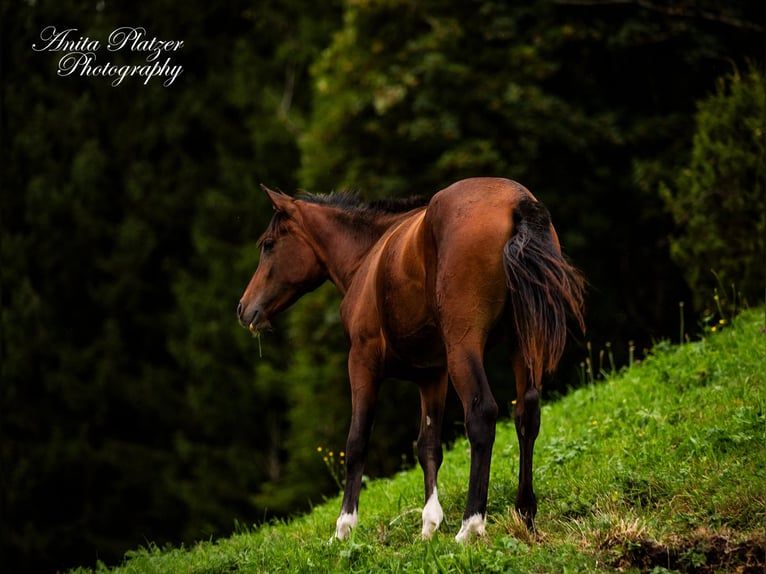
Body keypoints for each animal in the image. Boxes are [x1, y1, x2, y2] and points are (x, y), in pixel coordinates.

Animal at [237, 178, 584, 544]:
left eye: (268, 244)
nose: (244, 308)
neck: (368, 258)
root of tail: (516, 201)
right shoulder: (432, 374)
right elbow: (428, 445)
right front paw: (429, 523)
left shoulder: (361, 361)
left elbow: (357, 441)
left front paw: (344, 527)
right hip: (523, 344)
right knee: (526, 413)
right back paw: (525, 513)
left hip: (464, 345)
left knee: (482, 415)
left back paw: (471, 525)